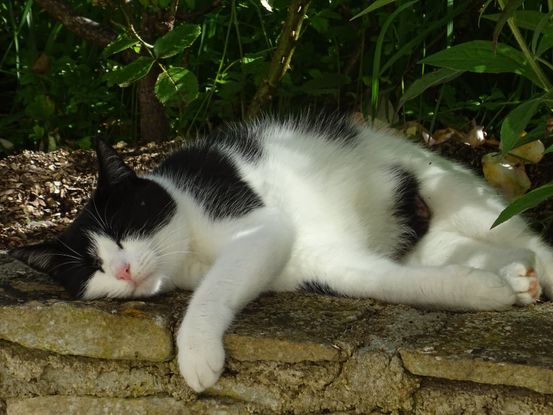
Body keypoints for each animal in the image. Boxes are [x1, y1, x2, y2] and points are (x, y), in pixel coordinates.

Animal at [9, 115, 553, 393]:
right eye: (92, 268)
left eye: (124, 232)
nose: (121, 270)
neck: (190, 255)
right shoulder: (326, 266)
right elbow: (390, 283)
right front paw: (480, 291)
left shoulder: (260, 228)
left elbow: (212, 291)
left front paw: (196, 352)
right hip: (430, 239)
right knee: (464, 252)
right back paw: (513, 278)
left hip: (456, 190)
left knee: (528, 239)